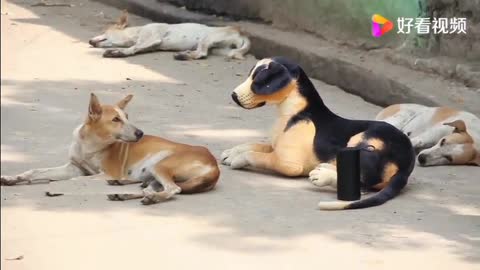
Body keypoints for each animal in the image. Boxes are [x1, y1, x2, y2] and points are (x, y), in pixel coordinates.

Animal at [0, 94, 219, 204]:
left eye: (127, 117)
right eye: (115, 119)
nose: (140, 133)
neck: (90, 145)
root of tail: (214, 164)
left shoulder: (102, 172)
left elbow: (75, 181)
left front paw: (55, 189)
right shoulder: (74, 167)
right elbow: (35, 171)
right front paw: (12, 178)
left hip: (160, 165)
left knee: (174, 189)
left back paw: (149, 197)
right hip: (154, 174)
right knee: (151, 188)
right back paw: (126, 192)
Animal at [88, 10, 251, 60]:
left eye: (104, 31)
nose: (89, 41)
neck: (137, 32)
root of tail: (241, 32)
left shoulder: (153, 38)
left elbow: (132, 48)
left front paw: (118, 52)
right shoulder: (149, 45)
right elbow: (136, 47)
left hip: (207, 38)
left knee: (202, 53)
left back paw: (183, 55)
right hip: (221, 50)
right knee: (202, 53)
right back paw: (185, 54)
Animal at [223, 56, 414, 210]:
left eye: (258, 79)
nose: (233, 95)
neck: (293, 112)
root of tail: (407, 162)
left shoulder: (288, 163)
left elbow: (256, 155)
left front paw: (239, 158)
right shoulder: (275, 146)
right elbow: (255, 145)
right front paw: (233, 152)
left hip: (364, 141)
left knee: (363, 181)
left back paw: (324, 175)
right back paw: (326, 168)